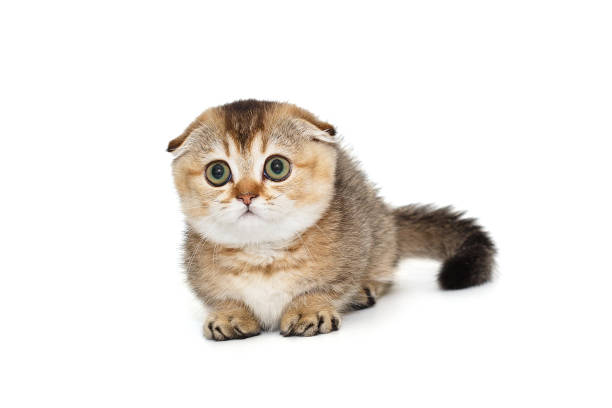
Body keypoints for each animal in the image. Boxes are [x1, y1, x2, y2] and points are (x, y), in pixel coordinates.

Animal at [167, 100, 498, 340]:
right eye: (217, 172)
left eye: (277, 167)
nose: (246, 196)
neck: (263, 254)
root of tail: (387, 217)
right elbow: (221, 297)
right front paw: (230, 314)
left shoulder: (354, 246)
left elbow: (327, 287)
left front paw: (308, 310)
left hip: (378, 232)